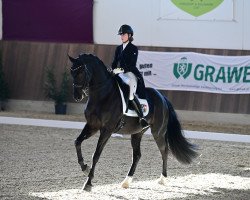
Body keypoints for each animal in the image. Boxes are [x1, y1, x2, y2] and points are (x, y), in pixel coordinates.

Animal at [68, 53, 197, 191]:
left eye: (81, 72)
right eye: (71, 71)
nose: (77, 96)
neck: (102, 96)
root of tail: (162, 97)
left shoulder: (107, 130)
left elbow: (96, 155)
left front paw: (88, 183)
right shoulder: (92, 126)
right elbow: (77, 142)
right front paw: (85, 168)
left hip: (158, 132)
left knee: (164, 151)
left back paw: (162, 179)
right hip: (137, 133)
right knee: (137, 155)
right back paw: (126, 181)